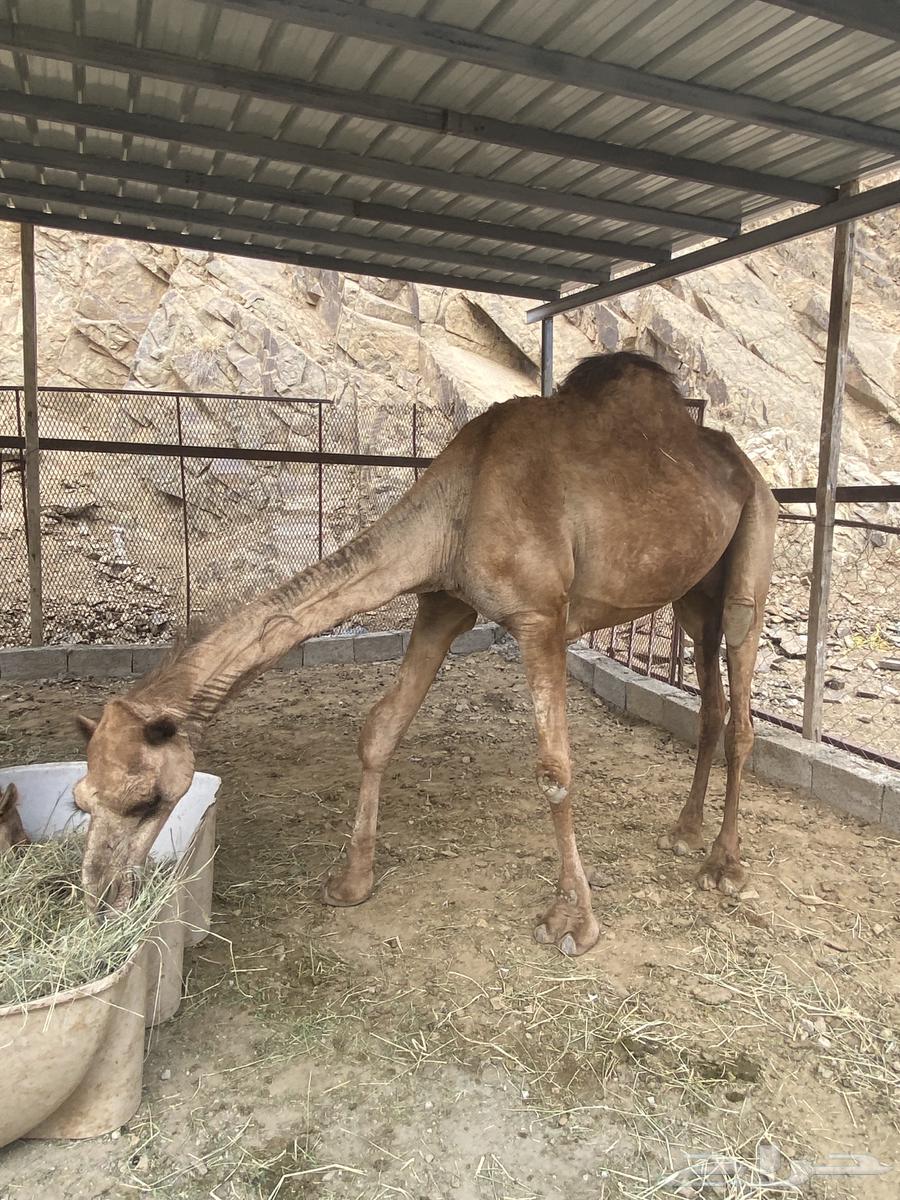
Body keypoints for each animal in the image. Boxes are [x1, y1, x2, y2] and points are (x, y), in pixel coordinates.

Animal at [73, 352, 777, 956]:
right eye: (82, 800)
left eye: (146, 801)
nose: (99, 898)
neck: (460, 501)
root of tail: (740, 464)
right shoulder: (443, 603)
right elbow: (380, 729)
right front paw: (350, 882)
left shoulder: (540, 616)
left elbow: (555, 767)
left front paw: (573, 922)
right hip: (691, 593)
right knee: (711, 701)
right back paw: (684, 833)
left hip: (753, 548)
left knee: (743, 702)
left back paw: (724, 865)